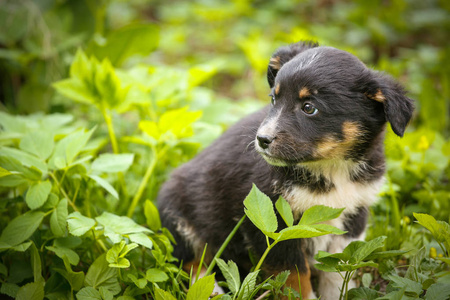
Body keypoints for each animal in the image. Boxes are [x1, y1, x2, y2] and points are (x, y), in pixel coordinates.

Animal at [156, 41, 414, 298]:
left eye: (309, 107)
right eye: (274, 100)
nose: (262, 139)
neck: (331, 167)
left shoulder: (354, 213)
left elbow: (340, 268)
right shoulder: (275, 227)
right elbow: (295, 276)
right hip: (177, 217)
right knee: (194, 264)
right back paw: (212, 292)